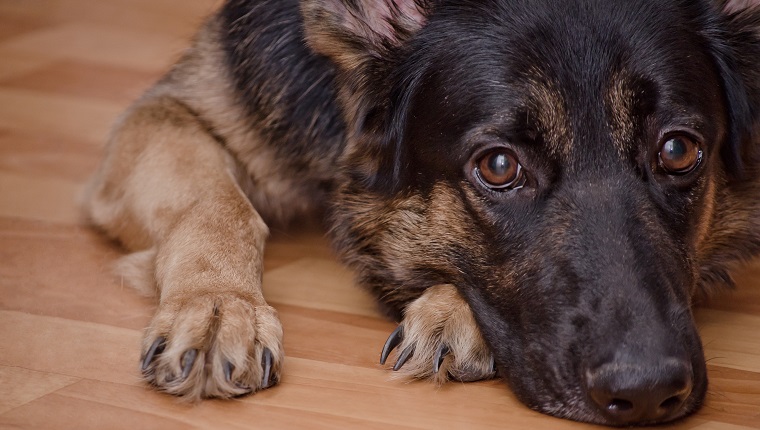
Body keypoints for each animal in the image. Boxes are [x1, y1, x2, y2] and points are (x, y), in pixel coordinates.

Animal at [81, 0, 760, 424]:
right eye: (499, 166)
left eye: (678, 151)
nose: (646, 393)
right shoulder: (171, 112)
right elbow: (218, 201)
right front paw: (219, 307)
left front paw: (449, 313)